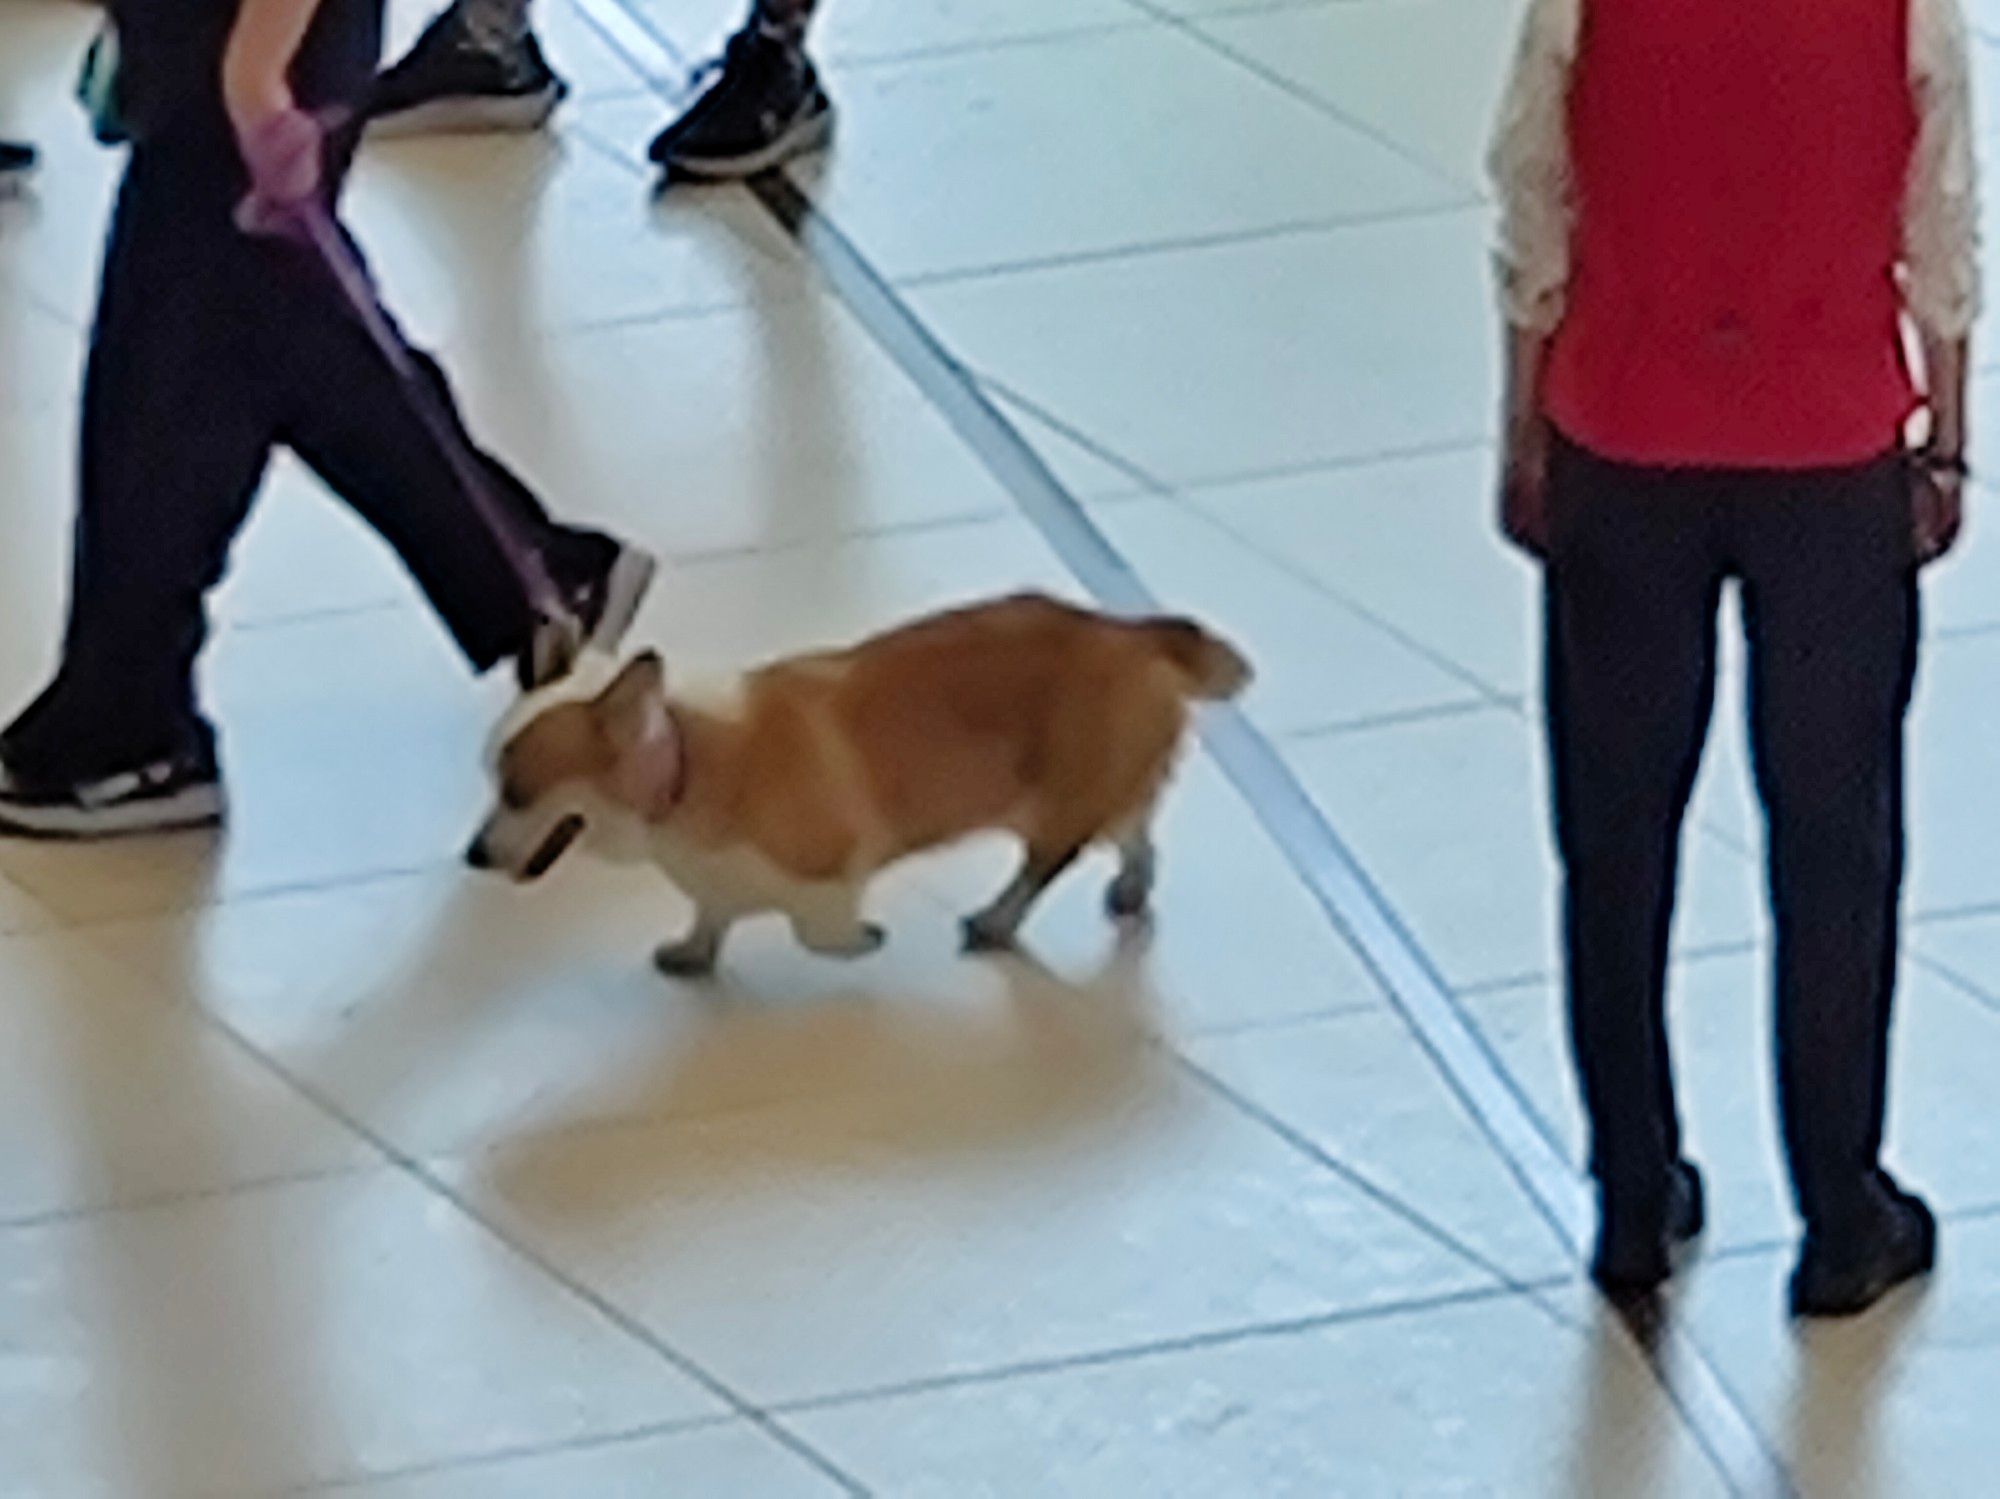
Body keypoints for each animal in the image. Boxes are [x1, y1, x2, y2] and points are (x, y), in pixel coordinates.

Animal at [468, 591, 1248, 979]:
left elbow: (820, 932)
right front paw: (692, 954)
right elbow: (711, 914)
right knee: (1136, 833)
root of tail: (1130, 632)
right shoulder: (715, 885)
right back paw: (1129, 891)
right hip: (1107, 790)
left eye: (519, 792)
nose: (471, 857)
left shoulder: (828, 872)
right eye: (489, 782)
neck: (684, 764)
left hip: (1058, 800)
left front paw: (864, 941)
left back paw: (995, 921)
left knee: (1047, 861)